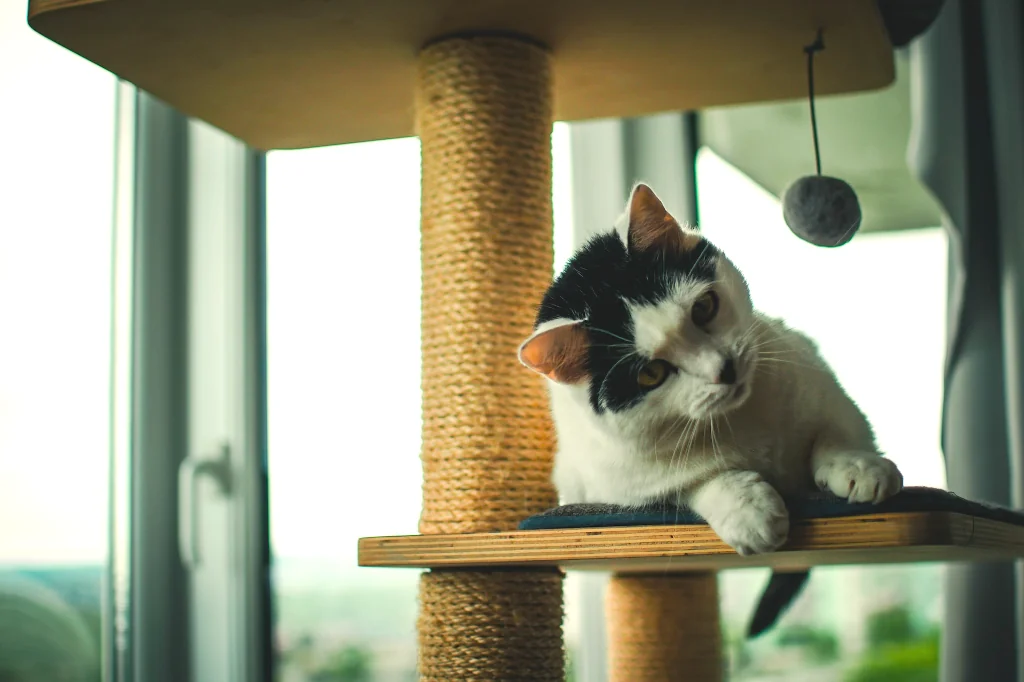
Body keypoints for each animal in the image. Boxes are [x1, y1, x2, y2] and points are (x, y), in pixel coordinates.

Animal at [520, 183, 905, 634]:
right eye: (651, 374)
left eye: (703, 308)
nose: (725, 369)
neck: (739, 420)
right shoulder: (624, 487)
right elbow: (694, 483)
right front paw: (746, 509)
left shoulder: (816, 377)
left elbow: (837, 430)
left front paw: (858, 466)